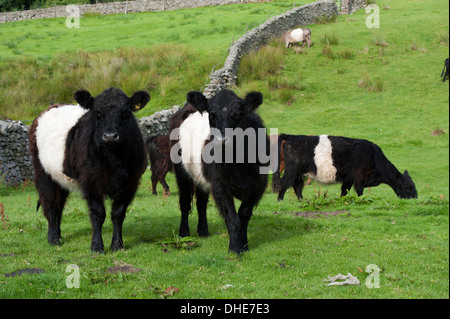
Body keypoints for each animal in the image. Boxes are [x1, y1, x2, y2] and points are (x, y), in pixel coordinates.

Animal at [28, 87, 151, 252]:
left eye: (125, 112)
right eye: (98, 113)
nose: (110, 136)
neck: (114, 160)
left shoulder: (130, 182)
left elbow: (118, 214)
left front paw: (117, 245)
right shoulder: (91, 182)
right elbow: (98, 214)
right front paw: (97, 246)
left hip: (60, 177)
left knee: (59, 204)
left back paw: (58, 235)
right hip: (43, 173)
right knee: (51, 203)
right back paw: (53, 239)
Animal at [168, 89, 268, 255]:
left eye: (237, 114)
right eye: (211, 114)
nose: (221, 140)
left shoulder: (258, 185)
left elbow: (244, 215)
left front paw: (244, 245)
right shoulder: (221, 186)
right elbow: (232, 219)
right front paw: (234, 248)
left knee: (201, 202)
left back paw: (203, 231)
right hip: (181, 172)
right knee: (185, 202)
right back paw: (184, 233)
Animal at [274, 134, 418, 200]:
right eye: (408, 186)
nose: (415, 198)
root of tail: (292, 137)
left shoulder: (349, 179)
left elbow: (344, 191)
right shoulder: (359, 178)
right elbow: (359, 192)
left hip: (299, 173)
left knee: (297, 187)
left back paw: (301, 200)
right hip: (292, 171)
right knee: (284, 183)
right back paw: (280, 200)